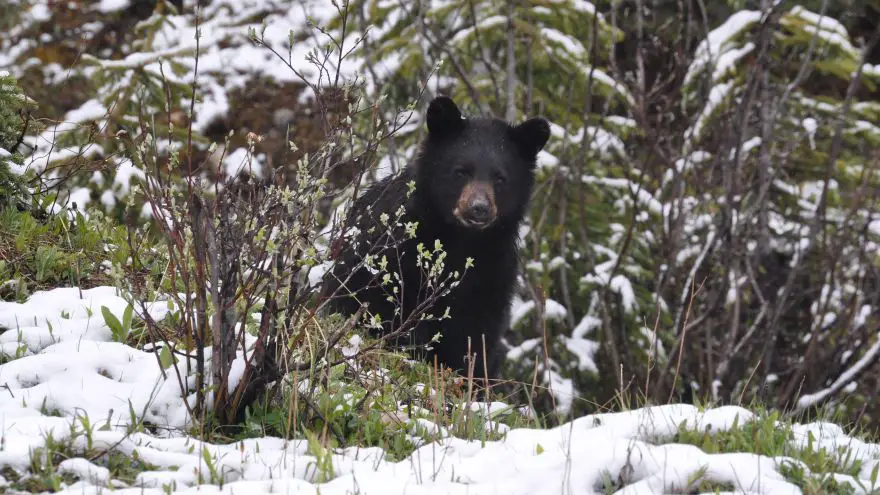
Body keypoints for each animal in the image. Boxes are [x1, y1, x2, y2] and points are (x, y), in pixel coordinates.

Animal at [316, 98, 552, 384]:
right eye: (461, 171)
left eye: (500, 178)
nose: (479, 209)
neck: (461, 241)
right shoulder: (392, 254)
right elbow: (378, 302)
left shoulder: (492, 274)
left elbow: (476, 335)